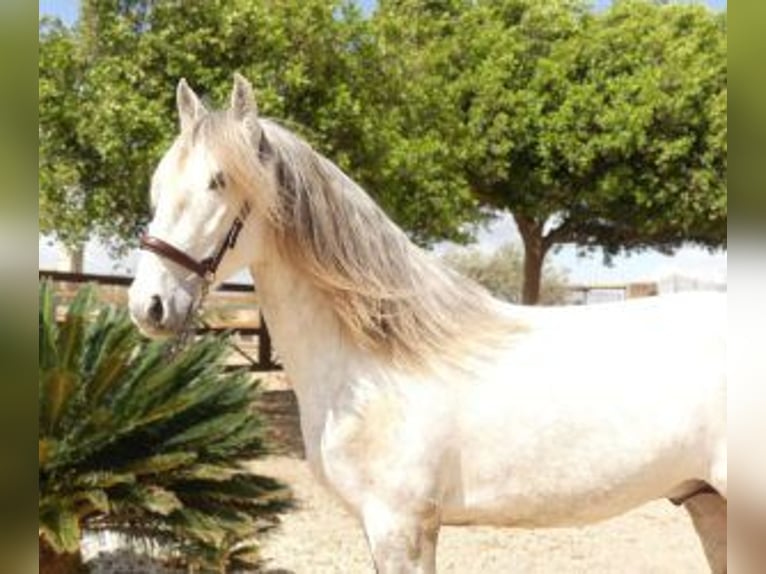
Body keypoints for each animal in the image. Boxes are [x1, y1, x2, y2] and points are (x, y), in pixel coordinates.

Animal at [129, 76, 728, 574]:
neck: (374, 362)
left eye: (219, 180)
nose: (147, 306)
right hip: (709, 505)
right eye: (159, 184)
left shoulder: (401, 526)